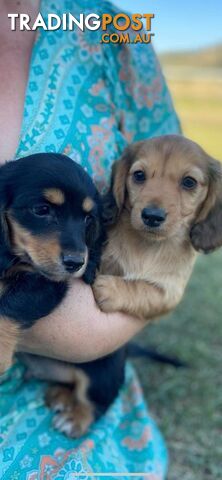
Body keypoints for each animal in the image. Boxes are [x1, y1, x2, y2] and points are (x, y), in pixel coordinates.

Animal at [92, 135, 222, 320]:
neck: (147, 246)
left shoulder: (170, 292)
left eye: (189, 182)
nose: (152, 216)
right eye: (139, 175)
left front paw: (110, 289)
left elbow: (144, 289)